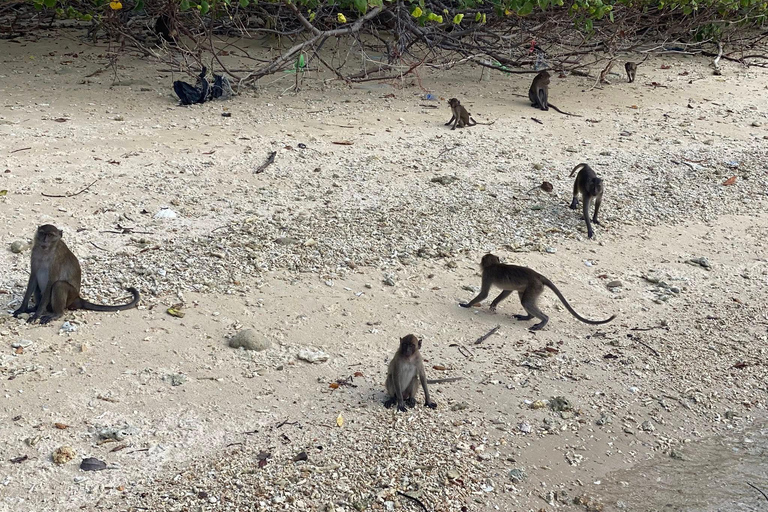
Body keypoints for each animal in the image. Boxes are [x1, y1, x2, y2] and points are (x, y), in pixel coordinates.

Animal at [459, 254, 616, 331]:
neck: (494, 264)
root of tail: (538, 276)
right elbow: (507, 290)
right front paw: (494, 303)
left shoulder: (487, 274)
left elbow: (484, 294)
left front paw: (467, 305)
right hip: (534, 287)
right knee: (523, 297)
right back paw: (528, 317)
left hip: (535, 286)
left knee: (526, 302)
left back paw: (543, 321)